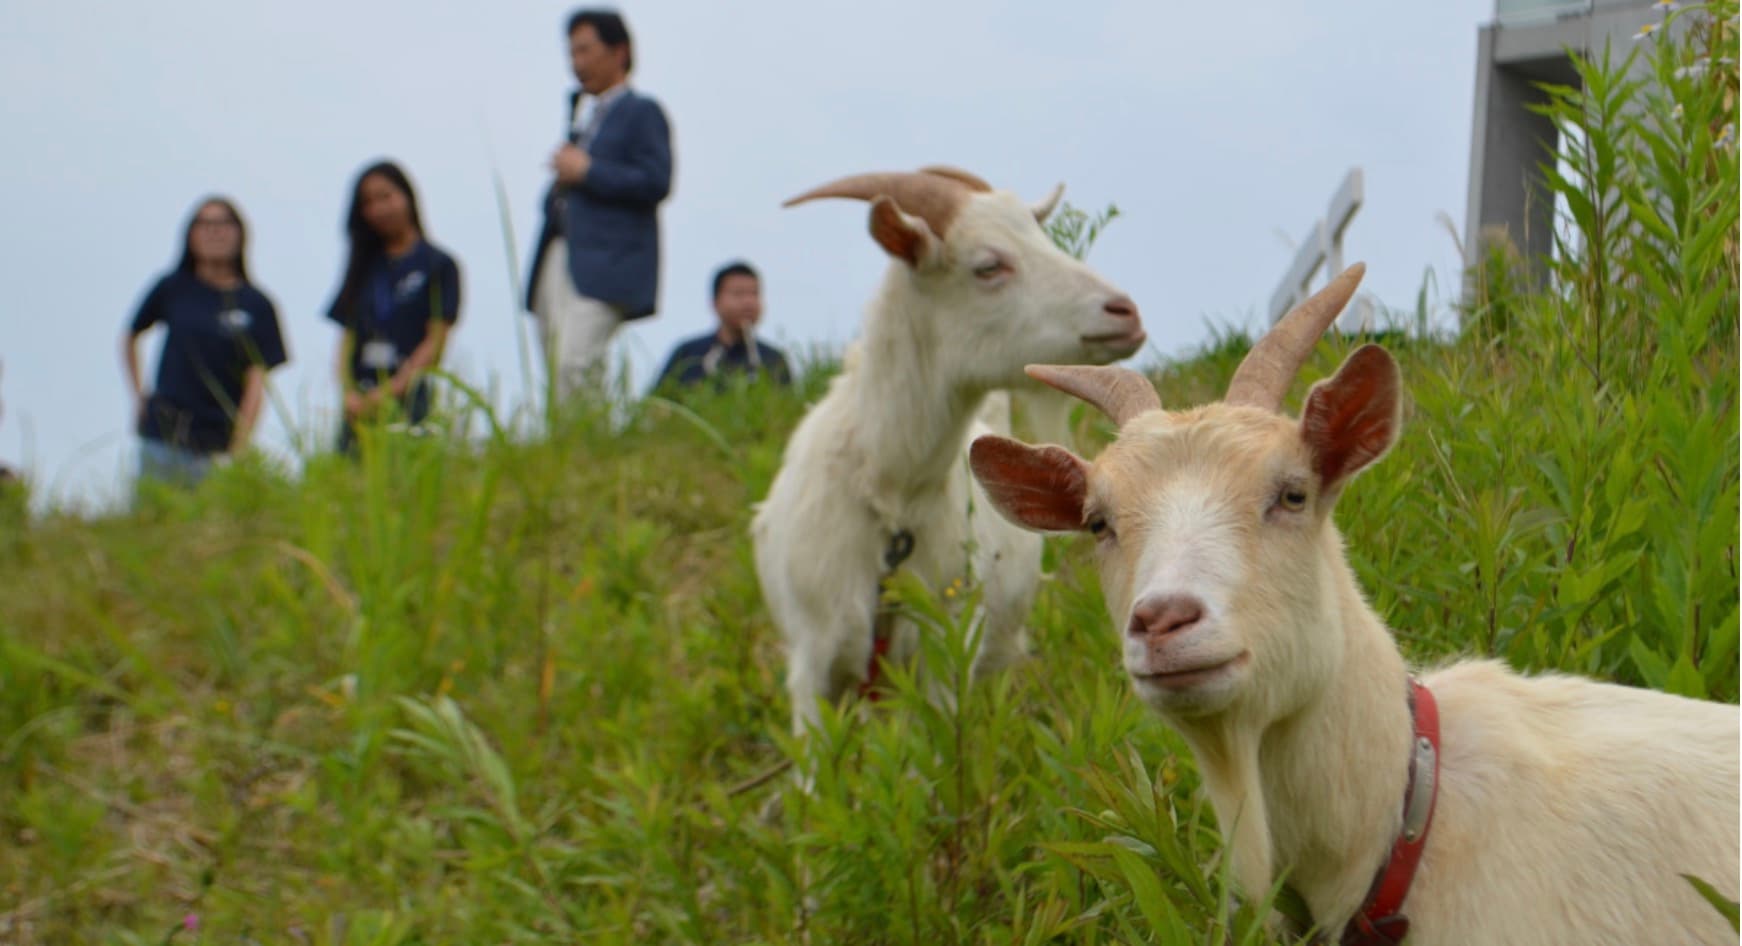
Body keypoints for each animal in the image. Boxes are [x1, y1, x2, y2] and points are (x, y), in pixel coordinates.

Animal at [752, 167, 1145, 738]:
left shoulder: (945, 647)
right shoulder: (813, 664)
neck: (891, 498)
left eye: (1040, 235)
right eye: (988, 265)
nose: (1126, 312)